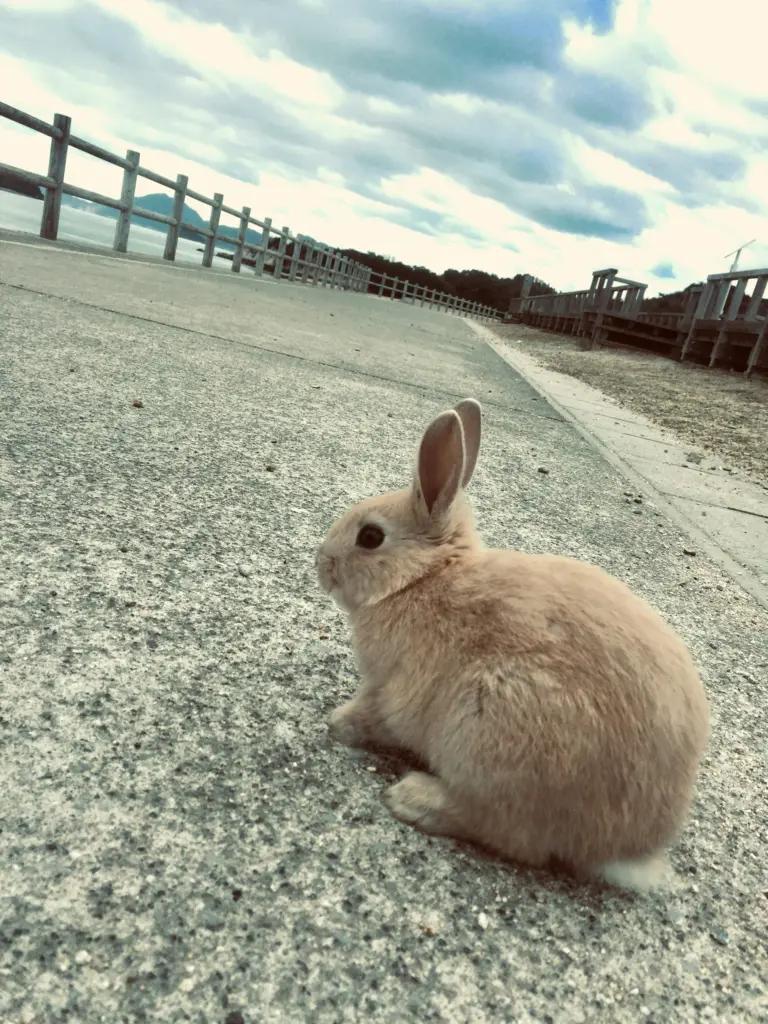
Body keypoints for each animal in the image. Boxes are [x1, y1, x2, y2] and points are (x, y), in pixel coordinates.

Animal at [315, 398, 710, 890]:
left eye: (370, 537)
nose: (321, 565)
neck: (423, 577)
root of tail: (622, 850)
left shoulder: (394, 688)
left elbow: (374, 715)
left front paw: (337, 724)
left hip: (490, 729)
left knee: (508, 833)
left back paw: (411, 798)